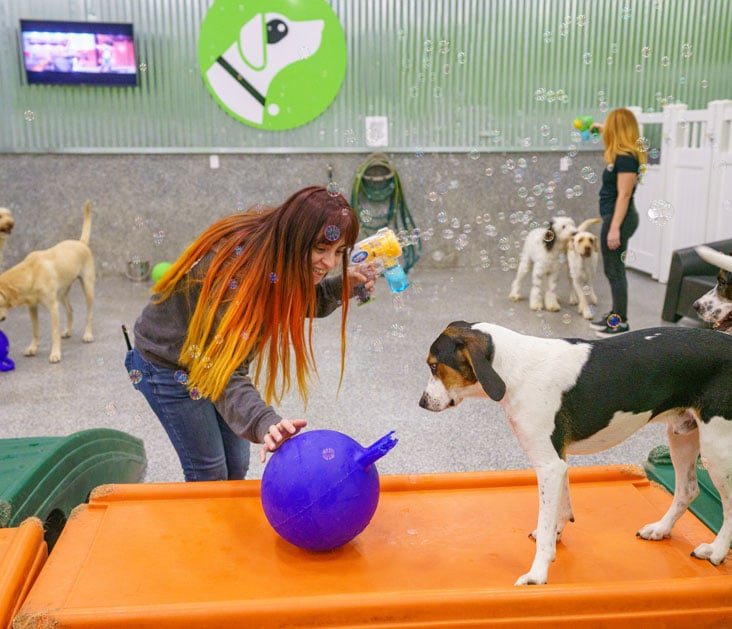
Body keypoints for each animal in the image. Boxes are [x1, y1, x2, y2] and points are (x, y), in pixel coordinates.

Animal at [0, 201, 94, 364]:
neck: (30, 272)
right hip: (62, 295)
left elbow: (54, 333)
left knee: (88, 314)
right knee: (70, 310)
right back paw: (68, 331)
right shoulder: (32, 308)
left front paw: (55, 354)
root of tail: (81, 242)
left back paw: (88, 335)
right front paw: (32, 348)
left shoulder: (53, 308)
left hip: (87, 289)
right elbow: (35, 331)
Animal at [418, 322, 732, 588]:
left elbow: (546, 522)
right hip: (682, 436)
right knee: (687, 490)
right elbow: (562, 506)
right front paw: (558, 533)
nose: (421, 402)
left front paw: (537, 573)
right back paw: (661, 529)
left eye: (434, 366)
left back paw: (716, 551)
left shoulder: (548, 464)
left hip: (717, 448)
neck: (514, 370)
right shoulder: (559, 460)